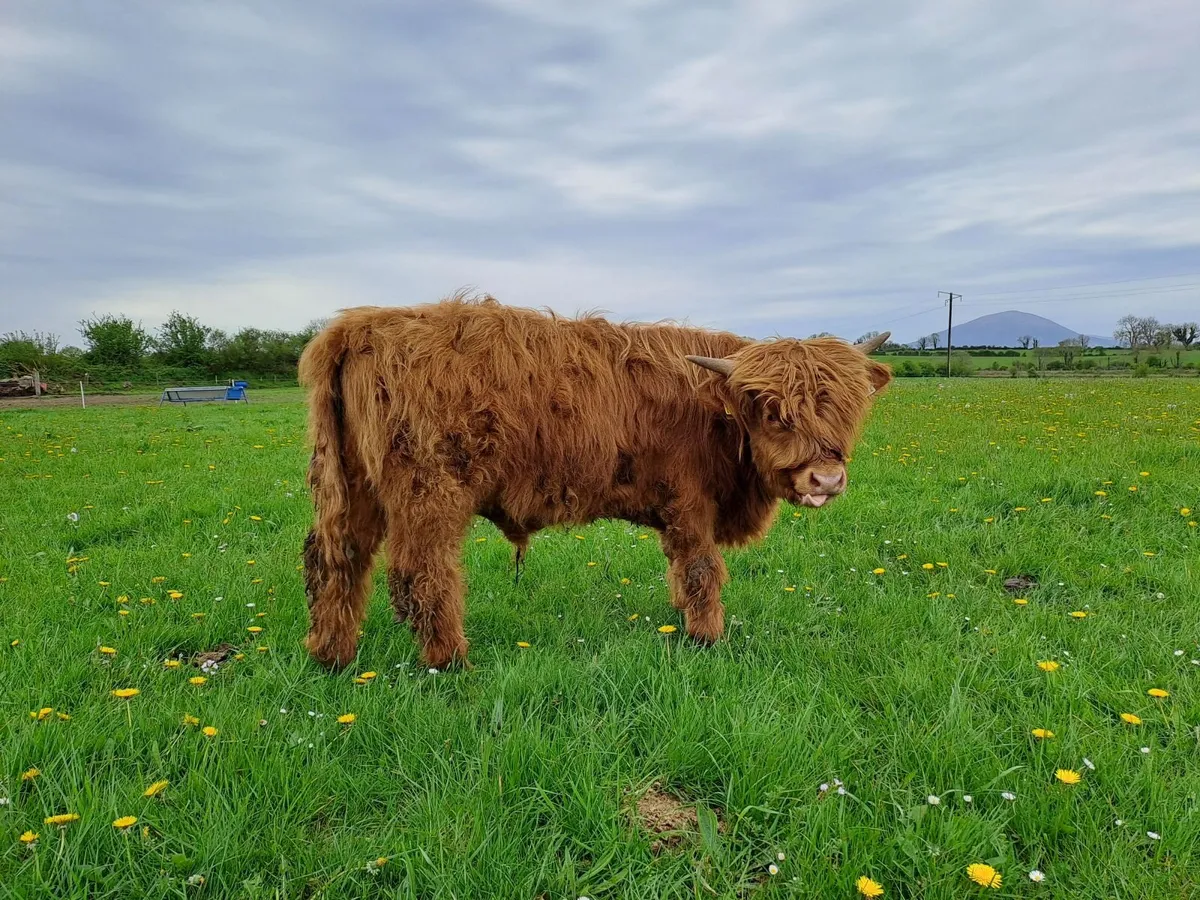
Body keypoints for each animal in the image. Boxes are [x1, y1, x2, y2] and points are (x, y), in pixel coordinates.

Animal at [298, 295, 891, 669]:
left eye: (848, 407)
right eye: (771, 410)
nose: (826, 478)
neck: (713, 411)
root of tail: (359, 324)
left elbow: (680, 569)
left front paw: (682, 617)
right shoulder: (690, 503)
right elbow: (702, 568)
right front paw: (706, 637)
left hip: (354, 485)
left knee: (336, 557)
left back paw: (331, 655)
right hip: (429, 492)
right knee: (422, 574)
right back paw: (451, 660)